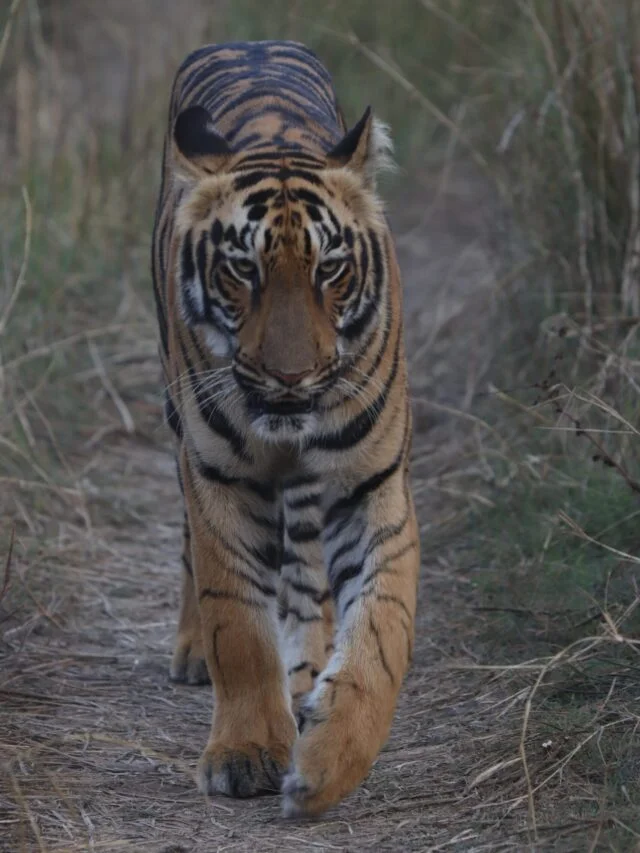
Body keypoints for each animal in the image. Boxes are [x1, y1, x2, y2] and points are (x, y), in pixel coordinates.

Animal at [150, 41, 420, 820]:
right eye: (243, 269)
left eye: (331, 268)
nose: (292, 377)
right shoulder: (217, 475)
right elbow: (236, 622)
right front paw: (245, 754)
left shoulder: (372, 486)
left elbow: (383, 632)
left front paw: (328, 764)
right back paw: (196, 654)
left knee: (303, 570)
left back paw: (305, 671)